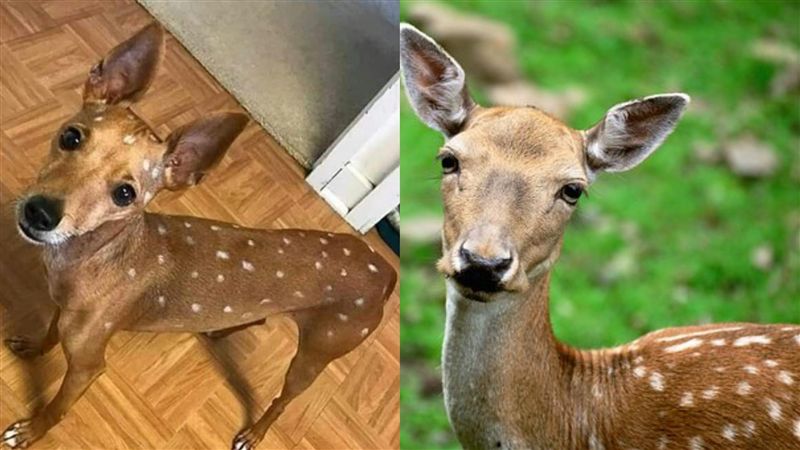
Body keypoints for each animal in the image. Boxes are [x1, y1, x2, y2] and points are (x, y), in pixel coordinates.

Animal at [1, 23, 396, 450]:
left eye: (125, 193)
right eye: (71, 137)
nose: (40, 212)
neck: (94, 255)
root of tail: (385, 271)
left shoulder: (88, 365)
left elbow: (56, 409)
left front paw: (29, 432)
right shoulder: (64, 312)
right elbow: (50, 333)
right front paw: (33, 348)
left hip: (315, 355)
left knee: (282, 402)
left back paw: (254, 434)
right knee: (257, 318)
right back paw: (223, 326)